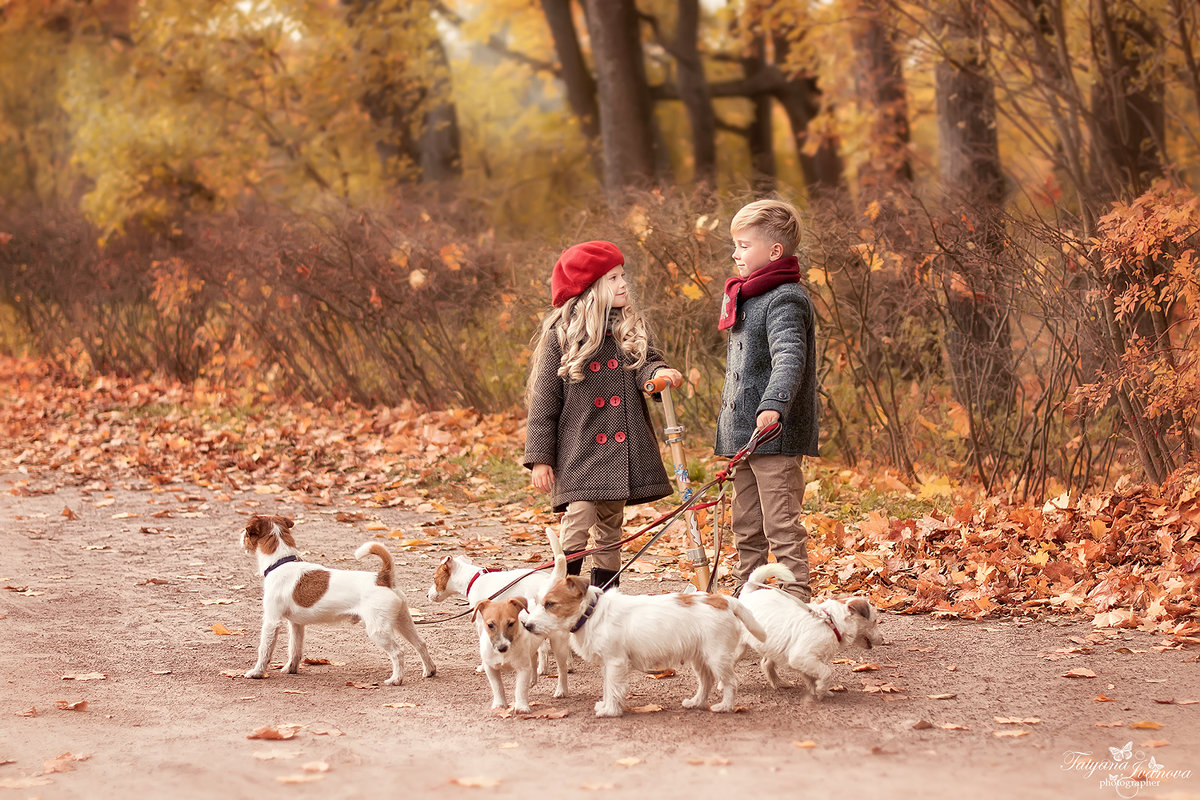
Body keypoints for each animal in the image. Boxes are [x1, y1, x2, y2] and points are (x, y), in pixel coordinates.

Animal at [240, 515, 436, 686]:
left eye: (247, 532)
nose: (240, 535)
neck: (281, 562)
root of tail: (382, 578)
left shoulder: (271, 622)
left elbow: (264, 650)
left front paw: (257, 672)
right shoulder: (296, 624)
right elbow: (294, 649)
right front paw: (291, 669)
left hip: (378, 631)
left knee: (398, 652)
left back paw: (396, 679)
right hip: (403, 622)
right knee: (421, 644)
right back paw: (429, 671)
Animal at [427, 554, 571, 695]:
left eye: (434, 577)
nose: (427, 595)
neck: (472, 580)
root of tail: (551, 581)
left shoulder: (481, 623)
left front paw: (483, 666)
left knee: (543, 649)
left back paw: (544, 670)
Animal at [520, 575, 763, 719]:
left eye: (550, 604)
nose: (527, 625)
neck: (592, 613)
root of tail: (722, 600)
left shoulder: (615, 662)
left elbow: (613, 688)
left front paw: (610, 711)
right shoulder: (608, 665)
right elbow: (608, 687)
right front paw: (607, 706)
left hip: (716, 657)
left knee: (730, 682)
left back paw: (725, 707)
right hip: (700, 658)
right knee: (707, 681)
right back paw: (696, 702)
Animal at [729, 561, 883, 695]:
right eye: (875, 621)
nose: (883, 639)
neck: (831, 622)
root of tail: (747, 595)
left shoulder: (809, 662)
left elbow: (813, 676)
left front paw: (818, 690)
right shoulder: (802, 657)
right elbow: (826, 672)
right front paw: (821, 689)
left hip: (773, 645)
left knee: (766, 663)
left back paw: (779, 683)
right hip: (739, 649)